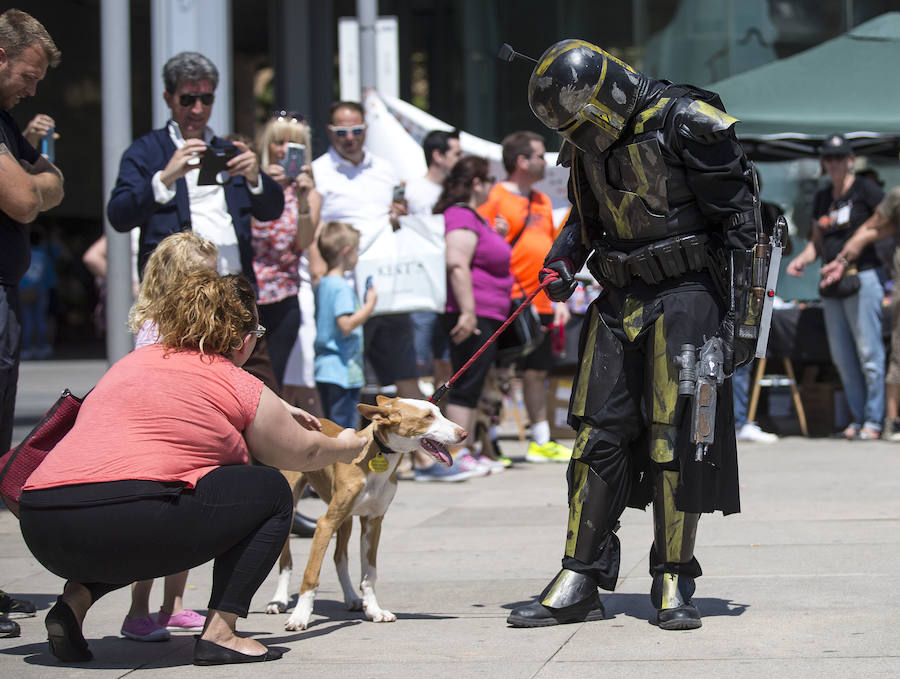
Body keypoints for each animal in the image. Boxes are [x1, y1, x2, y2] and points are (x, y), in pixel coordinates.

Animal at [266, 396, 464, 628]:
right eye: (428, 416)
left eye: (439, 413)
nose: (464, 433)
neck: (376, 457)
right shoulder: (326, 523)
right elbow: (311, 574)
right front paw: (300, 616)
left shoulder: (373, 521)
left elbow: (369, 574)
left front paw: (374, 610)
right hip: (294, 508)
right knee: (286, 560)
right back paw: (278, 600)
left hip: (346, 520)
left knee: (339, 557)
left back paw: (352, 598)